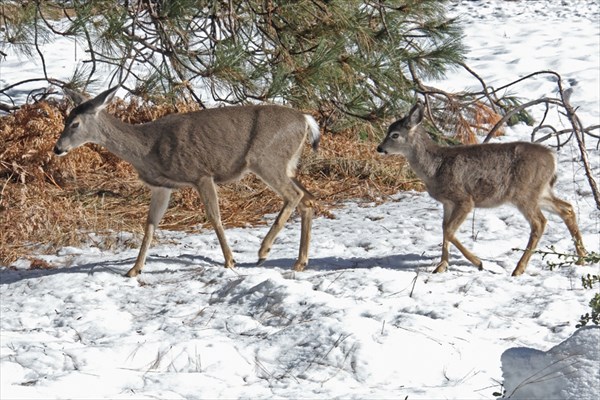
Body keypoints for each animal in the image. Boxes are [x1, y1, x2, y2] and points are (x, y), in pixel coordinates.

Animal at [54, 86, 322, 276]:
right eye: (65, 120)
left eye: (75, 123)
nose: (57, 148)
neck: (147, 149)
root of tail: (306, 120)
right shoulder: (162, 185)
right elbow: (150, 224)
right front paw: (134, 269)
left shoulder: (201, 173)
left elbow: (215, 217)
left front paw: (230, 260)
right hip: (286, 165)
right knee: (308, 199)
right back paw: (300, 262)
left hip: (267, 159)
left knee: (296, 196)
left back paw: (264, 251)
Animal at [378, 103, 588, 276]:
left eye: (395, 134)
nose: (379, 148)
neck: (435, 167)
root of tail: (553, 157)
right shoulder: (447, 203)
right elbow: (444, 229)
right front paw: (441, 267)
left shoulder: (464, 199)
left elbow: (450, 231)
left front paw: (478, 263)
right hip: (541, 192)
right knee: (567, 209)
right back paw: (582, 258)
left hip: (524, 194)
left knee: (539, 222)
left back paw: (518, 269)